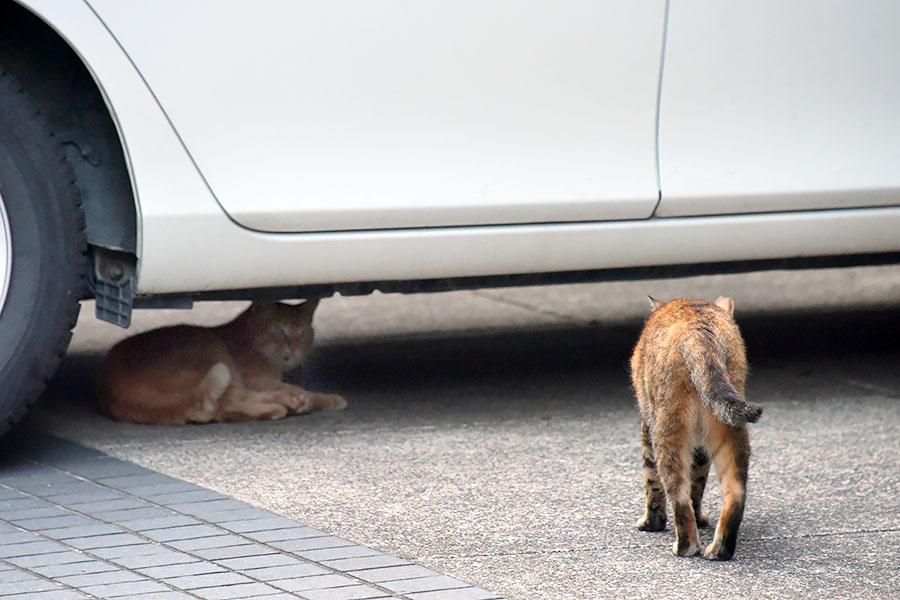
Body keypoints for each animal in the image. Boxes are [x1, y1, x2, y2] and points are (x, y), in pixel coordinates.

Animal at [96, 298, 346, 422]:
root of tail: (113, 386)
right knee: (217, 408)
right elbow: (299, 390)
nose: (292, 349)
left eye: (301, 333)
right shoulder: (254, 378)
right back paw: (280, 406)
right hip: (214, 352)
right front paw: (323, 399)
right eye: (278, 331)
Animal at [628, 296, 764, 564]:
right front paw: (700, 517)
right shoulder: (701, 447)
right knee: (735, 492)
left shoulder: (646, 426)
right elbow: (698, 483)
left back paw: (685, 547)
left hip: (667, 427)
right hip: (729, 426)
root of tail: (698, 331)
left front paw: (651, 523)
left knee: (677, 494)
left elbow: (652, 482)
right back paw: (719, 550)